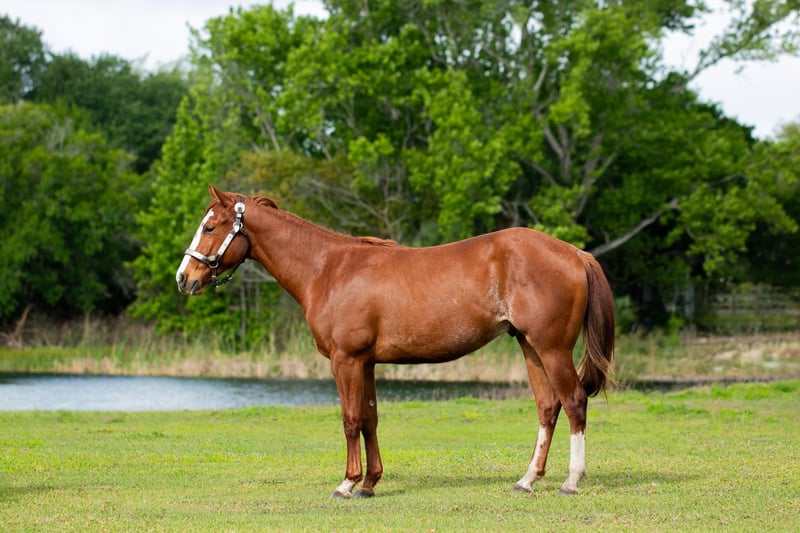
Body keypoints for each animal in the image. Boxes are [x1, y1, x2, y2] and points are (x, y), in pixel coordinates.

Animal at [176, 185, 615, 498]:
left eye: (210, 227)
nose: (184, 278)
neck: (328, 268)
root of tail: (574, 253)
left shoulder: (346, 360)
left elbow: (351, 419)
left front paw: (347, 483)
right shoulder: (366, 362)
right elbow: (370, 418)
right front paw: (370, 483)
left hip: (552, 349)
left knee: (574, 401)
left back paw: (571, 481)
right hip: (530, 347)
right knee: (548, 407)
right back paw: (527, 479)